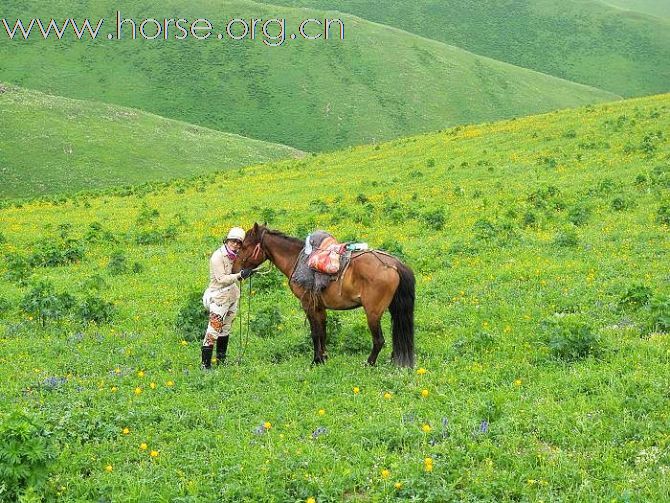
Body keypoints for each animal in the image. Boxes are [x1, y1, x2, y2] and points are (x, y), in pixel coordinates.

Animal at [234, 226, 418, 368]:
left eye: (244, 246)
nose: (236, 270)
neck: (297, 260)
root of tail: (394, 264)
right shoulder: (320, 306)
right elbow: (323, 332)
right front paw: (324, 357)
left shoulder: (308, 304)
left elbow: (315, 333)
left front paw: (316, 360)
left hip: (373, 313)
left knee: (379, 340)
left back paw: (369, 363)